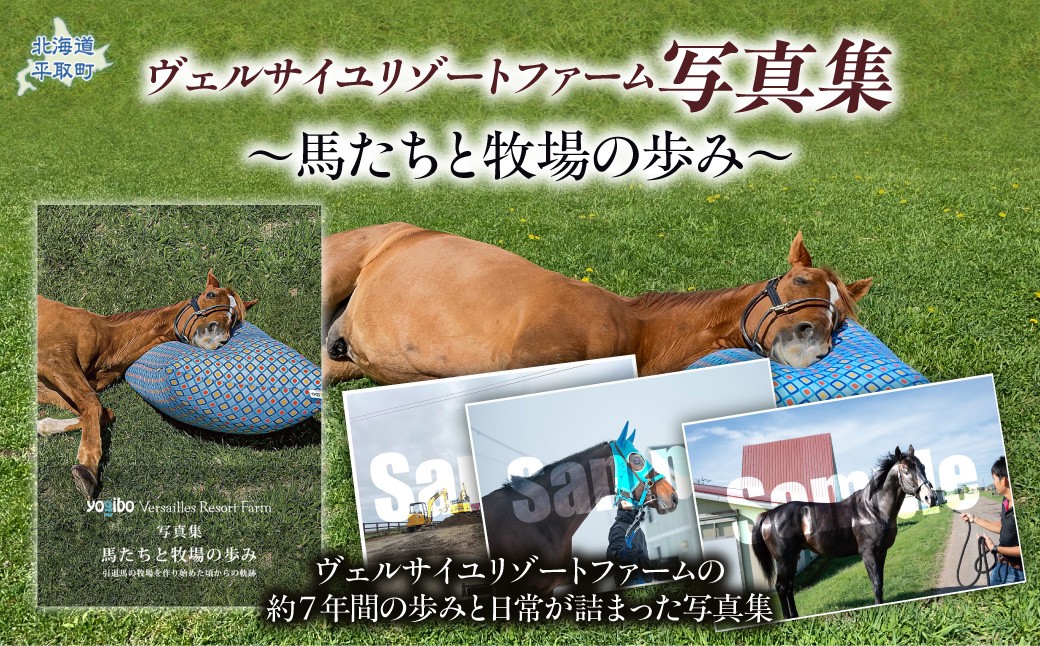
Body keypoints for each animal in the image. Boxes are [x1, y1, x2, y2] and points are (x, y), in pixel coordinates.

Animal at [36, 271, 257, 500]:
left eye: (235, 319)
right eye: (210, 294)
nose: (217, 337)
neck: (108, 339)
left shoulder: (50, 389)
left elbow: (103, 413)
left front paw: (42, 426)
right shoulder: (54, 360)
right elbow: (93, 403)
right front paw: (87, 469)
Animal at [751, 445, 936, 619]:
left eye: (923, 467)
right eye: (905, 471)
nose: (931, 497)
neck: (873, 509)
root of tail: (769, 514)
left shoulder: (881, 552)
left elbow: (881, 582)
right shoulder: (868, 553)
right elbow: (876, 584)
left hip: (793, 558)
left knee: (789, 587)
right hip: (783, 560)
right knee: (781, 587)